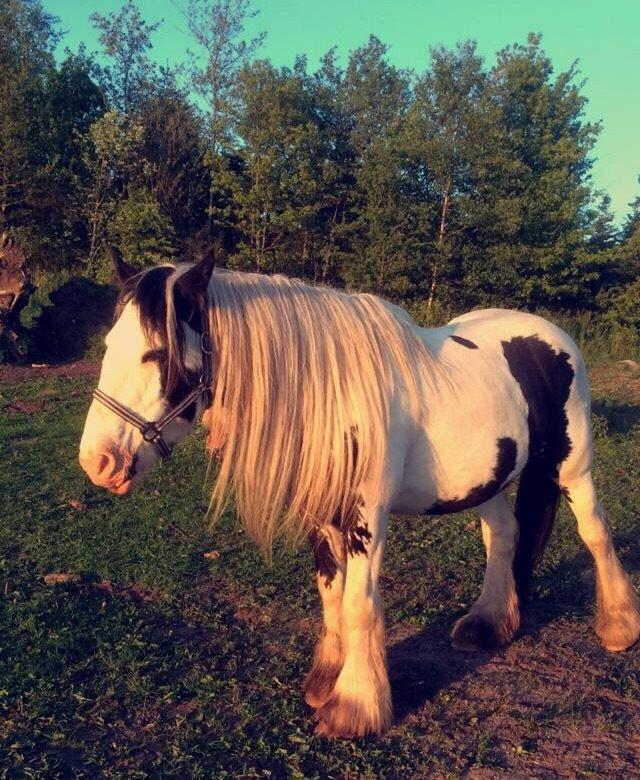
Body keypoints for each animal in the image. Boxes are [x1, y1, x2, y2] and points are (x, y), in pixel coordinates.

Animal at [80, 248, 640, 736]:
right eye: (108, 347)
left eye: (159, 354)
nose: (98, 462)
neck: (330, 391)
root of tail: (551, 336)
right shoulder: (321, 513)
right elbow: (331, 595)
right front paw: (326, 681)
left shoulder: (366, 516)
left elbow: (358, 603)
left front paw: (354, 707)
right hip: (491, 478)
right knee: (504, 535)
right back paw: (488, 623)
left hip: (573, 465)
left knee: (595, 532)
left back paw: (618, 627)